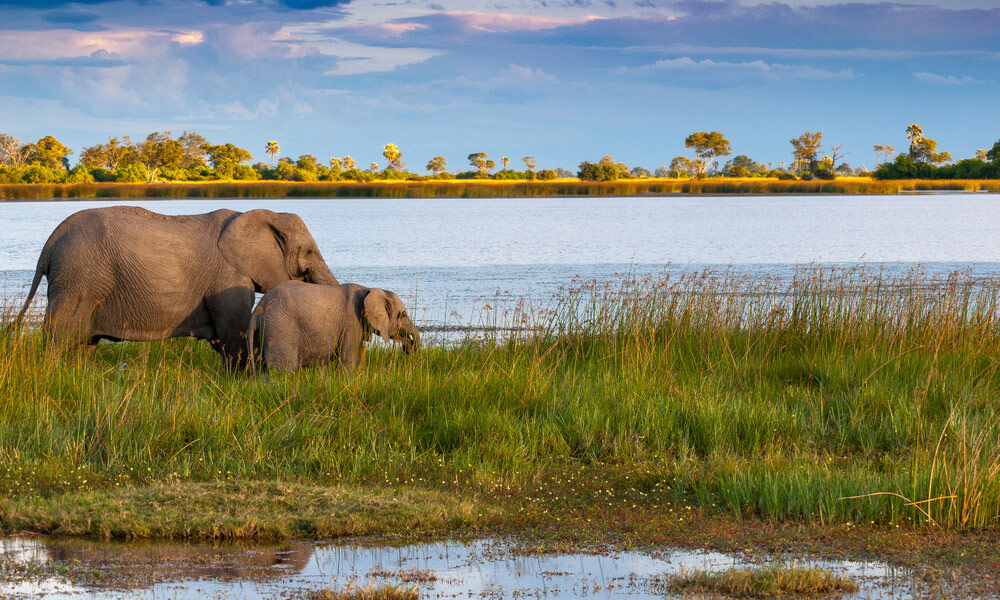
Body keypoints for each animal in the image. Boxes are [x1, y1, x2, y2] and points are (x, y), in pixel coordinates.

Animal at [12, 205, 340, 366]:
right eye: (309, 251)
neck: (261, 214)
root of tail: (50, 242)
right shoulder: (228, 274)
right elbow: (232, 332)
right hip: (78, 279)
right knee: (61, 335)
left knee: (82, 342)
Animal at [252, 280, 424, 372]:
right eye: (403, 315)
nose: (407, 349)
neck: (370, 289)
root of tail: (259, 308)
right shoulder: (351, 322)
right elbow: (348, 358)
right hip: (280, 327)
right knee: (283, 370)